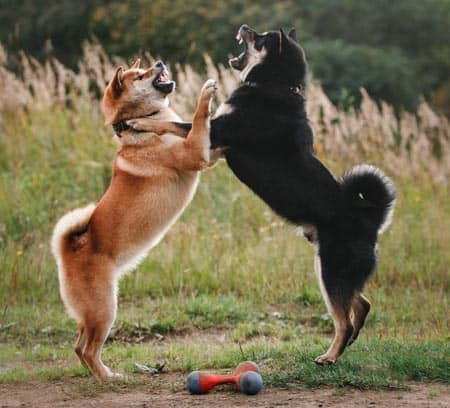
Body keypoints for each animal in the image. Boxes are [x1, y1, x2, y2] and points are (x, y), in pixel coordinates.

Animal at [51, 60, 216, 380]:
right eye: (140, 75)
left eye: (145, 67)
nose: (160, 63)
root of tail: (68, 251)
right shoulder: (195, 153)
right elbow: (198, 119)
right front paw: (204, 96)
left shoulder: (206, 151)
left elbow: (190, 126)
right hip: (105, 310)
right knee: (89, 350)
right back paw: (108, 377)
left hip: (92, 314)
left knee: (79, 346)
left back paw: (97, 375)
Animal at [125, 24, 394, 364]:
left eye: (260, 37)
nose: (244, 27)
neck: (274, 86)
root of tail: (371, 219)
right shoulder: (214, 150)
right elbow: (177, 125)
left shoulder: (214, 137)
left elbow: (176, 124)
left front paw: (138, 121)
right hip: (328, 270)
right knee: (360, 304)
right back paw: (349, 342)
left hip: (331, 271)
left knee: (343, 319)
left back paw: (330, 356)